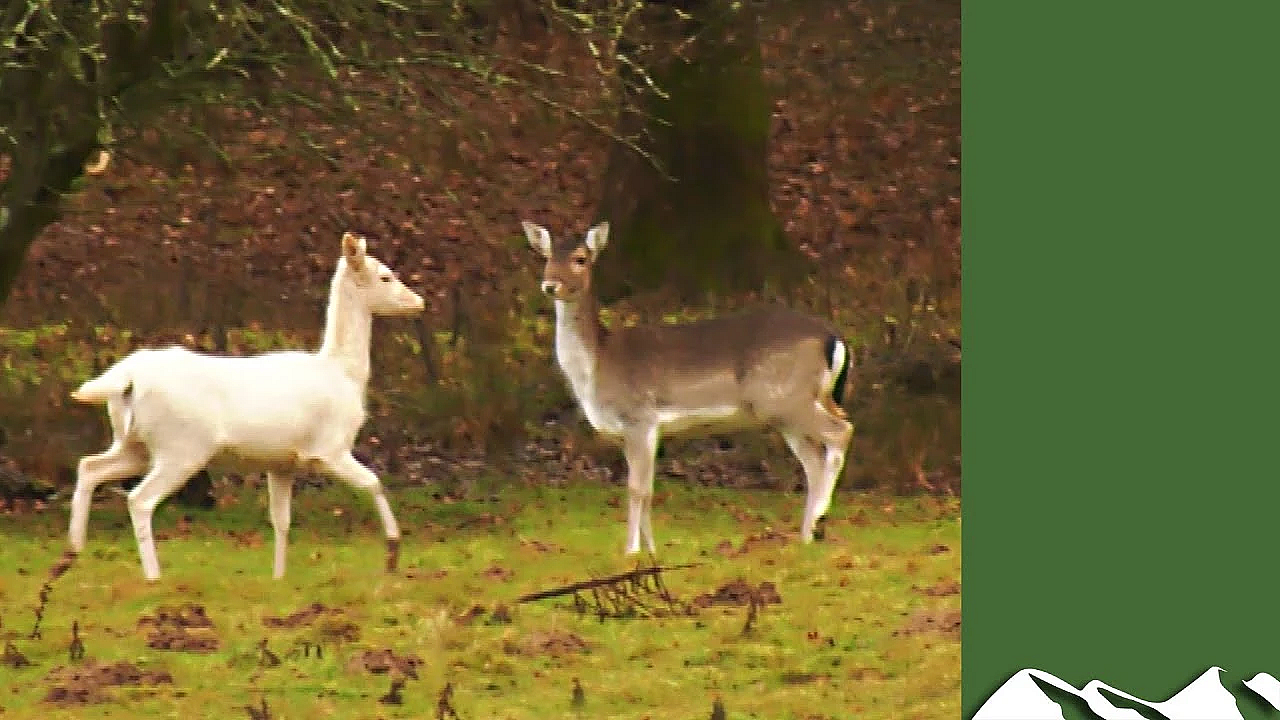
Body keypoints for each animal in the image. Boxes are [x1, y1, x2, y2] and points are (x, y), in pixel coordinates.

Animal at [68, 231, 425, 581]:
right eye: (386, 276)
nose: (418, 301)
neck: (344, 374)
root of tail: (126, 376)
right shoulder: (329, 449)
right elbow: (374, 482)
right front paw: (393, 553)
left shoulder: (282, 462)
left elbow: (281, 521)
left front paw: (278, 579)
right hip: (181, 448)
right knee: (140, 499)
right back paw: (152, 577)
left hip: (134, 444)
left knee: (89, 466)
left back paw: (72, 554)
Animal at [521, 220, 854, 555]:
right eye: (547, 257)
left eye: (580, 259)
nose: (550, 285)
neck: (598, 366)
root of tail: (834, 338)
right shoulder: (636, 432)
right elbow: (647, 488)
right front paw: (652, 550)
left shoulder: (640, 417)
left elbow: (637, 488)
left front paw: (631, 551)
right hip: (792, 408)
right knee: (814, 460)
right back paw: (807, 535)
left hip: (785, 398)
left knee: (841, 431)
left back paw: (820, 518)